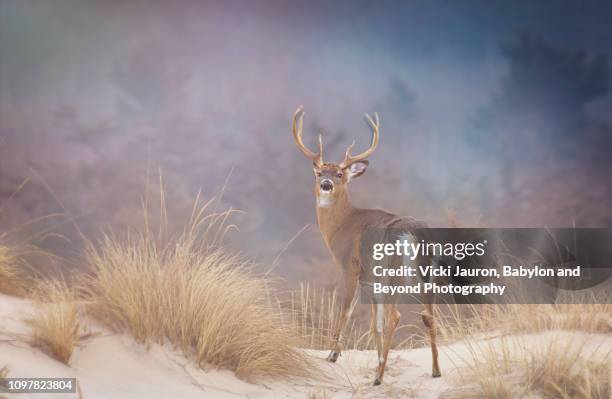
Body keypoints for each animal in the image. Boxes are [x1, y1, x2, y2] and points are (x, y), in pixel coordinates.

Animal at [292, 104, 440, 386]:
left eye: (339, 174)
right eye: (319, 172)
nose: (325, 184)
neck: (343, 225)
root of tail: (412, 232)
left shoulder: (351, 268)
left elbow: (345, 311)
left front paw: (332, 355)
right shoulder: (372, 281)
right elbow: (375, 325)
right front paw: (375, 360)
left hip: (394, 272)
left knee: (396, 316)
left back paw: (379, 377)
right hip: (425, 274)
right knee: (428, 315)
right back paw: (435, 370)